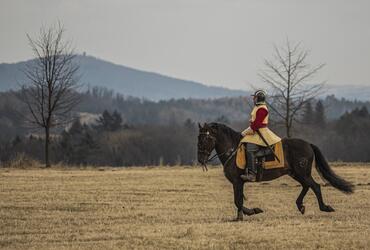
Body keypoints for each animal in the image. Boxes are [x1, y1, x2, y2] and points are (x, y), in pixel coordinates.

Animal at [198, 122, 354, 221]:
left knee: (315, 186)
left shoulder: (238, 181)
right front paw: (239, 217)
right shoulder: (238, 183)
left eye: (206, 138)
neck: (233, 149)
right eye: (198, 138)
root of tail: (308, 144)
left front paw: (253, 211)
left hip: (302, 173)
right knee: (307, 186)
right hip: (296, 174)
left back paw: (324, 207)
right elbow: (238, 200)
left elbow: (238, 201)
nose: (200, 159)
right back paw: (300, 206)